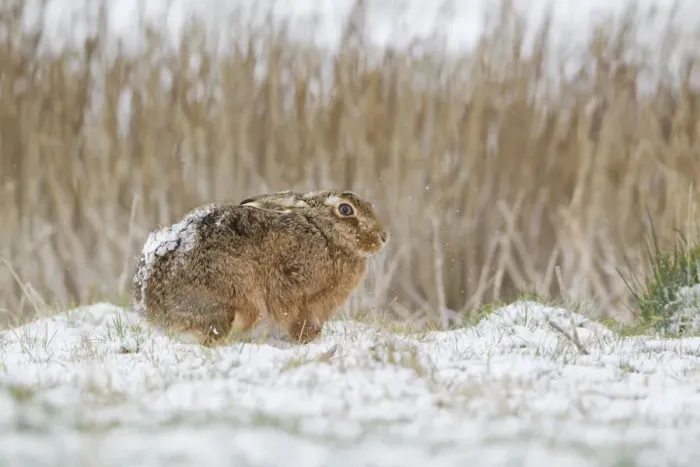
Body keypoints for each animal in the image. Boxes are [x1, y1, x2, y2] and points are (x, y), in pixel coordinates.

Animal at [131, 189, 389, 346]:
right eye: (346, 210)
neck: (325, 233)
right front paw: (308, 339)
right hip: (233, 303)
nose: (384, 237)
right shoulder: (297, 293)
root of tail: (152, 311)